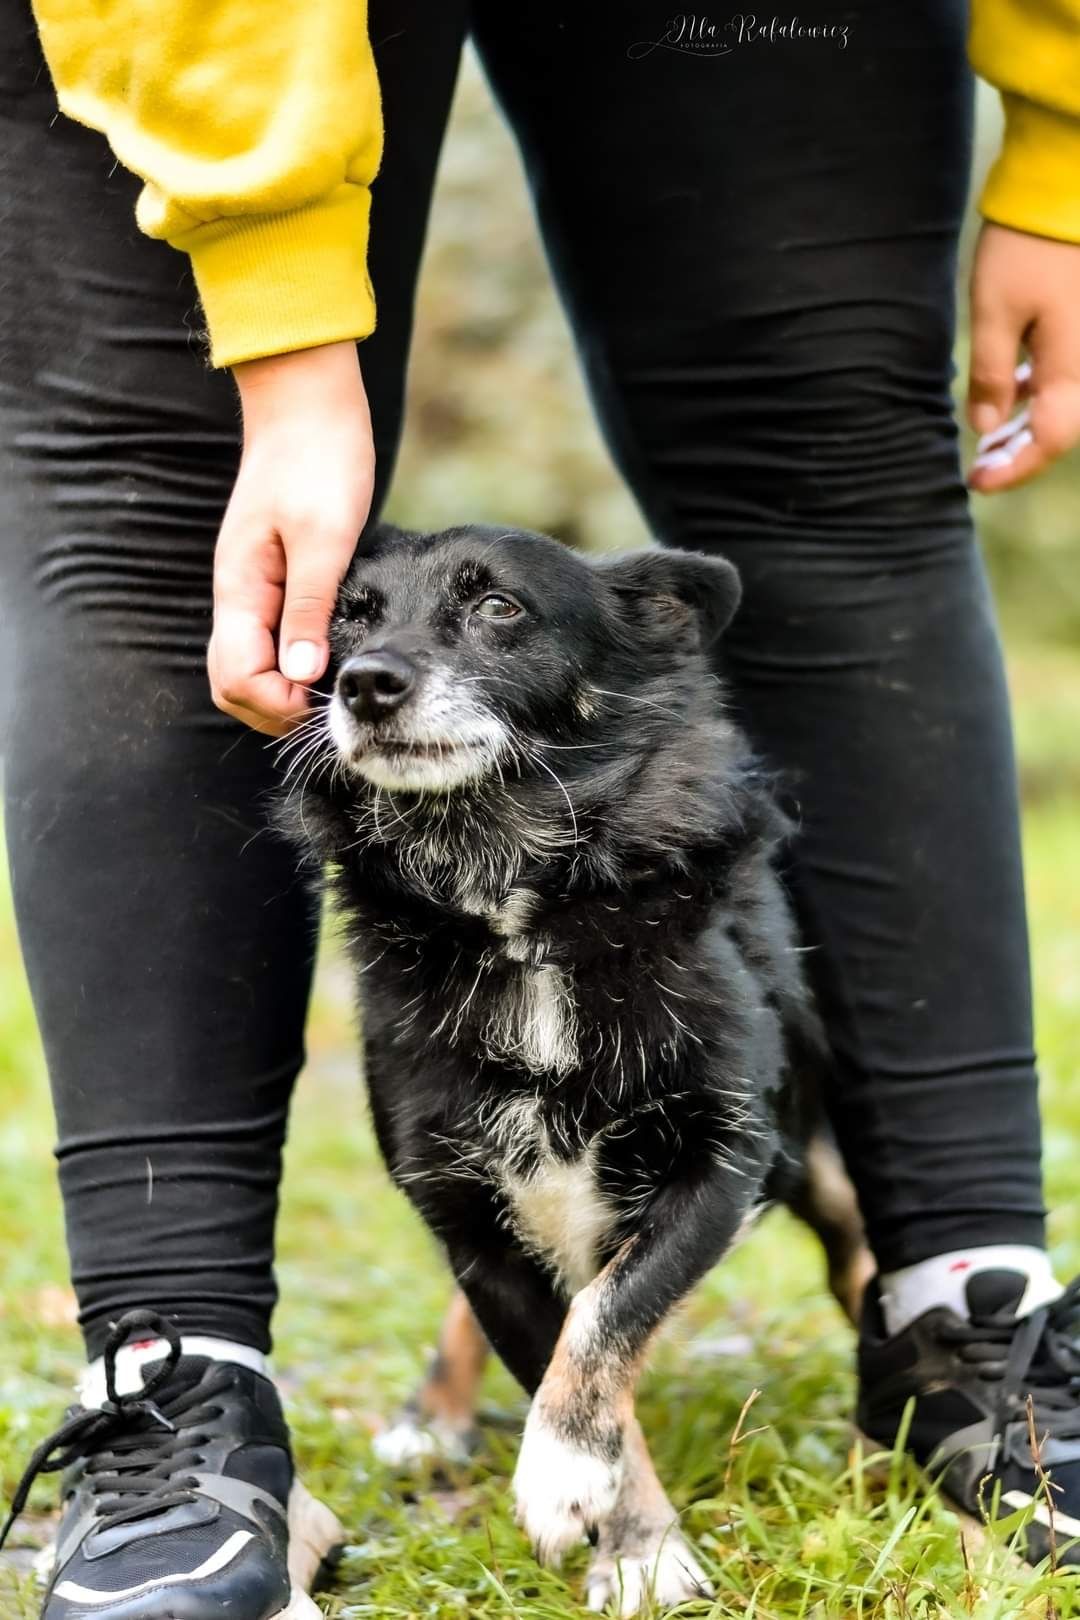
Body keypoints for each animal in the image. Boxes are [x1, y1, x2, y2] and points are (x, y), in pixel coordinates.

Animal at [281, 524, 867, 1613]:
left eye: (499, 607)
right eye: (349, 617)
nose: (363, 682)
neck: (517, 913)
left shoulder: (720, 1158)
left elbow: (606, 1316)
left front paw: (584, 1496)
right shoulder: (461, 1204)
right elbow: (565, 1348)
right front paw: (629, 1535)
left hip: (824, 1165)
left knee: (856, 1257)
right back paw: (435, 1412)